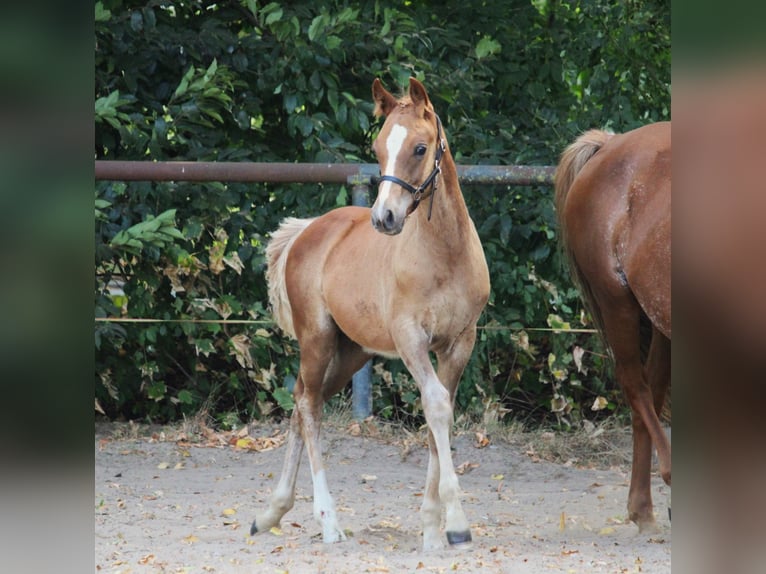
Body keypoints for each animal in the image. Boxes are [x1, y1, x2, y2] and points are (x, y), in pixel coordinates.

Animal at [250, 77, 490, 551]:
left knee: (300, 401)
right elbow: (436, 406)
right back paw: (327, 521)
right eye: (379, 148)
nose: (385, 218)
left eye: (420, 148)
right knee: (308, 406)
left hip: (351, 352)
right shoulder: (410, 338)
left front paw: (431, 527)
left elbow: (439, 414)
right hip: (317, 339)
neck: (445, 255)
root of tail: (306, 231)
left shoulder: (460, 343)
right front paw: (455, 523)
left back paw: (271, 512)